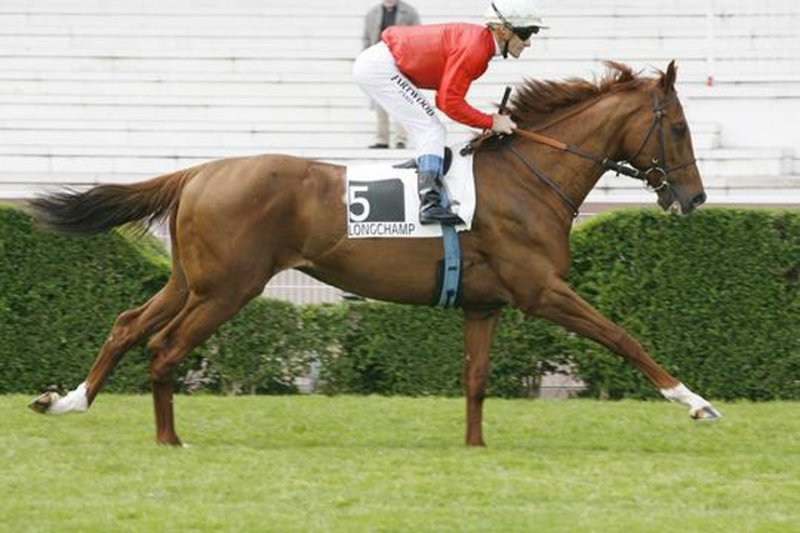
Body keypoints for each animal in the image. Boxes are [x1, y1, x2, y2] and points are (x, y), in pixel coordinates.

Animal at [27, 60, 721, 447]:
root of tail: (198, 171)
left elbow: (475, 380)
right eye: (679, 127)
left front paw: (475, 449)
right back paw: (170, 440)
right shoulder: (540, 289)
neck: (530, 178)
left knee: (127, 326)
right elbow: (623, 337)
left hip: (191, 281)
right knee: (164, 347)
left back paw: (67, 401)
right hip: (227, 289)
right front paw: (695, 402)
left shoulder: (485, 304)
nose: (695, 198)